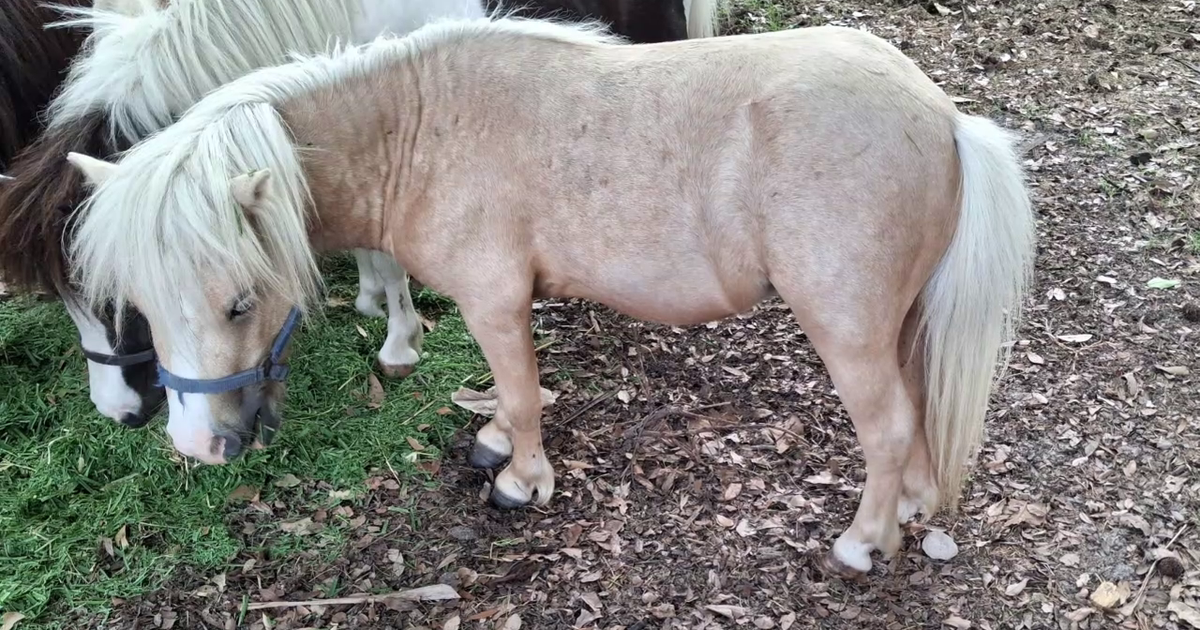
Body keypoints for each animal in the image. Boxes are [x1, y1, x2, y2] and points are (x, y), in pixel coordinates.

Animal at [65, 18, 1036, 577]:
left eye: (239, 302)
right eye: (141, 305)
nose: (196, 446)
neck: (420, 128)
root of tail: (944, 118)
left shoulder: (493, 299)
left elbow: (527, 392)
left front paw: (521, 480)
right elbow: (512, 389)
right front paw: (495, 439)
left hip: (846, 329)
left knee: (887, 427)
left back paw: (865, 541)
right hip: (898, 322)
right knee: (915, 409)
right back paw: (909, 510)